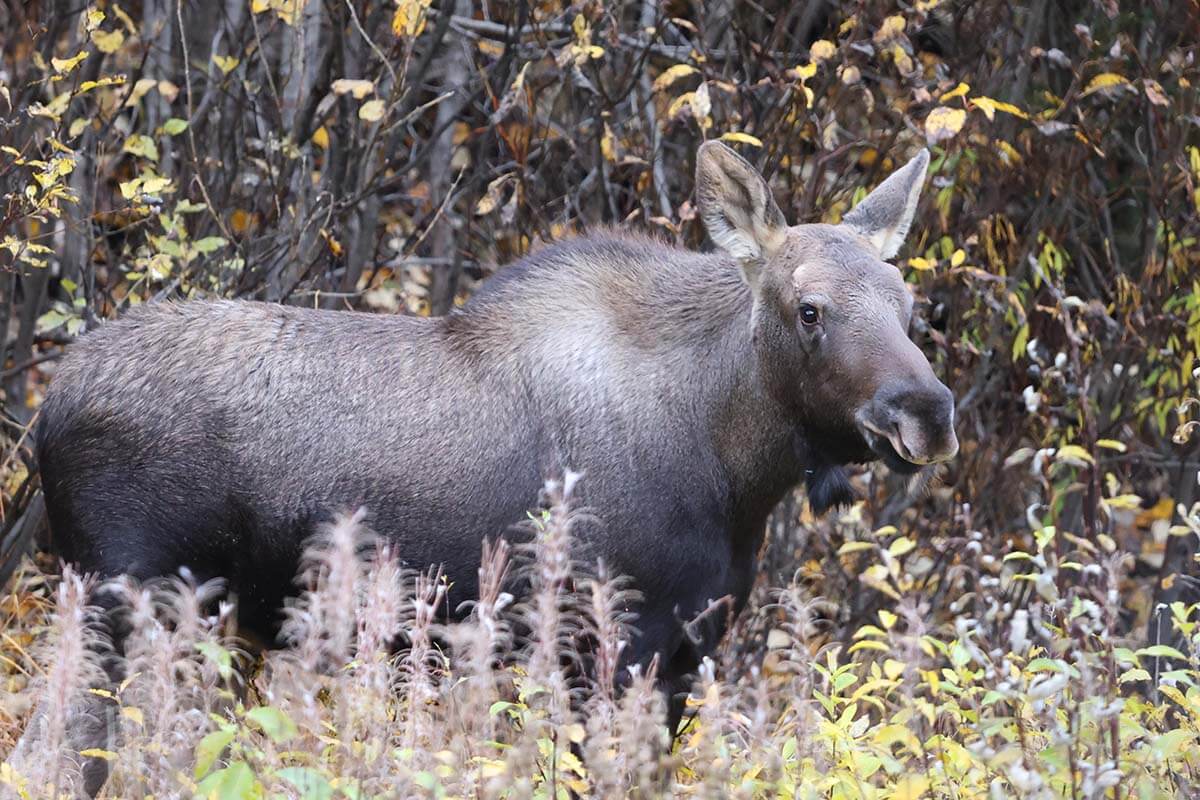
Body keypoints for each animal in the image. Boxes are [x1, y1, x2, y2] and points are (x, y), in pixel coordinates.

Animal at [32, 142, 960, 782]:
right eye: (809, 309)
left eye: (909, 304)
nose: (925, 410)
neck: (735, 472)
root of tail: (45, 411)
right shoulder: (608, 644)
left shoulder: (684, 654)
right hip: (119, 597)